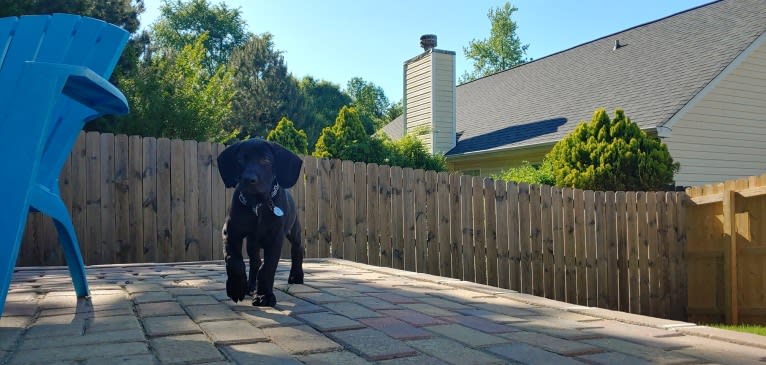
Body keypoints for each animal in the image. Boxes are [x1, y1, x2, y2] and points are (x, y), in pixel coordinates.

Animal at [218, 138, 304, 306]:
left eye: (266, 160)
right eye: (240, 160)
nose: (248, 179)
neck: (258, 205)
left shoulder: (275, 238)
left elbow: (268, 267)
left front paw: (265, 296)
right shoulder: (230, 232)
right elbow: (233, 260)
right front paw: (236, 288)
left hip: (294, 231)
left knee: (298, 249)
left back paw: (296, 276)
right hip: (252, 242)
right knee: (255, 261)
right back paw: (250, 286)